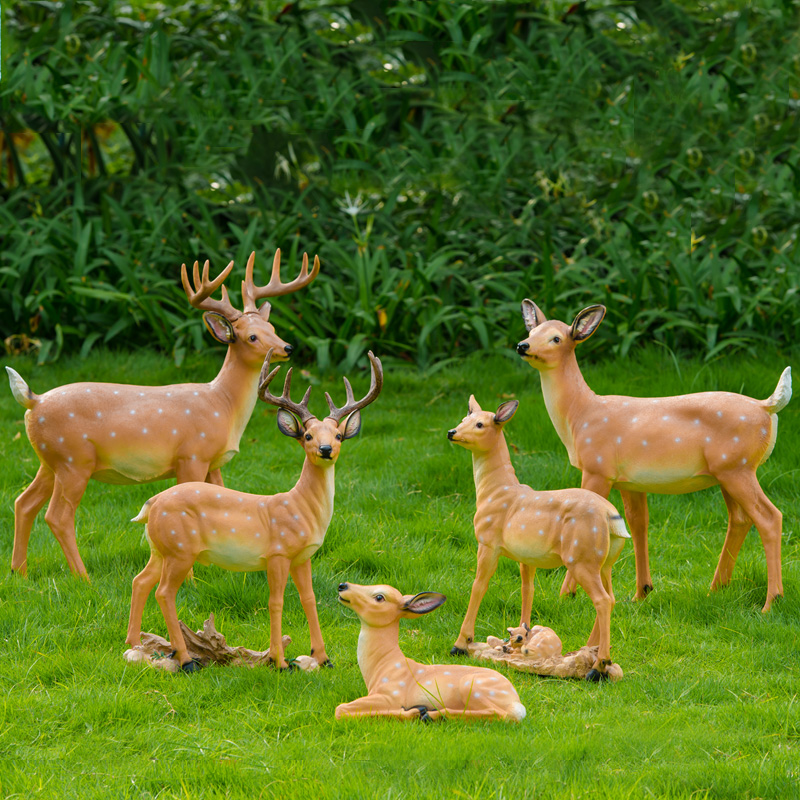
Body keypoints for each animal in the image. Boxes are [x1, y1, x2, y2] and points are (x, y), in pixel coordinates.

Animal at [7, 248, 318, 576]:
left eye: (272, 328)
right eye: (252, 337)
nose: (288, 347)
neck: (223, 405)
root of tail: (33, 400)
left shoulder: (213, 462)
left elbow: (225, 502)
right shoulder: (191, 455)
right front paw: (191, 577)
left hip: (50, 460)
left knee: (23, 502)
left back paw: (19, 572)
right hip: (74, 460)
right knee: (57, 515)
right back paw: (83, 577)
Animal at [125, 350, 384, 668]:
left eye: (337, 435)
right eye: (308, 436)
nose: (326, 450)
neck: (301, 508)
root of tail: (152, 504)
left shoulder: (303, 556)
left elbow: (309, 598)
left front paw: (323, 658)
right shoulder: (277, 553)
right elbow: (277, 601)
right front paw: (280, 661)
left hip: (161, 548)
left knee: (140, 581)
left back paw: (134, 644)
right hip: (180, 548)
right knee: (164, 592)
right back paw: (186, 660)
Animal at [334, 584, 528, 720]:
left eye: (379, 597)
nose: (343, 585)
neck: (381, 666)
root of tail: (516, 702)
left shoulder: (391, 693)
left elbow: (339, 709)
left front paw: (415, 711)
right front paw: (415, 711)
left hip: (472, 686)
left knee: (501, 714)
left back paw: (432, 715)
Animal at [446, 396, 628, 680]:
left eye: (479, 424)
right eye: (464, 418)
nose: (451, 432)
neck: (495, 491)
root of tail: (612, 518)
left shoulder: (488, 542)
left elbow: (478, 585)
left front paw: (460, 644)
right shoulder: (526, 555)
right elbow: (527, 590)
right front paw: (520, 637)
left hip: (582, 558)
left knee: (602, 600)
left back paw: (597, 667)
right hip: (606, 561)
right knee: (612, 598)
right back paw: (589, 652)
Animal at [516, 302, 792, 612]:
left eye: (556, 338)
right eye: (532, 331)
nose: (522, 345)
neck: (579, 416)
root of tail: (767, 407)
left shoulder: (597, 467)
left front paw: (567, 595)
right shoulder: (629, 481)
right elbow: (638, 524)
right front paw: (642, 592)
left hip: (738, 467)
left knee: (769, 517)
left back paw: (771, 601)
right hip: (728, 470)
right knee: (741, 519)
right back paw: (716, 589)